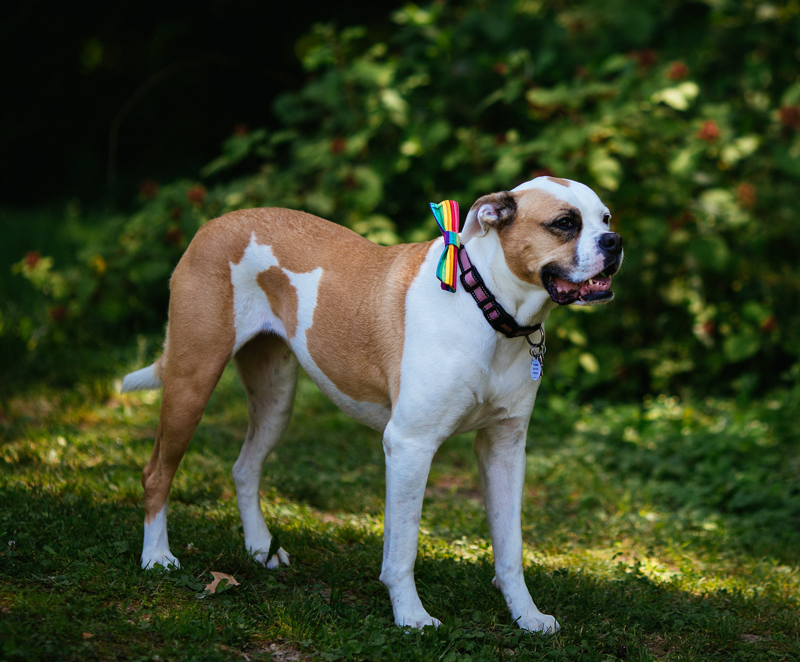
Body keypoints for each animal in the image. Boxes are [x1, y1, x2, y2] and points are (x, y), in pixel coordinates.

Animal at [122, 175, 624, 632]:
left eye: (605, 218)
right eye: (564, 223)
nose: (615, 241)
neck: (488, 309)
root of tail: (216, 223)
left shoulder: (504, 448)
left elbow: (510, 548)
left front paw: (526, 616)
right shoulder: (409, 446)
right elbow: (402, 549)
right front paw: (411, 617)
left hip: (275, 399)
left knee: (244, 468)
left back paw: (259, 548)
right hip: (192, 382)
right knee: (156, 473)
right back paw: (157, 557)